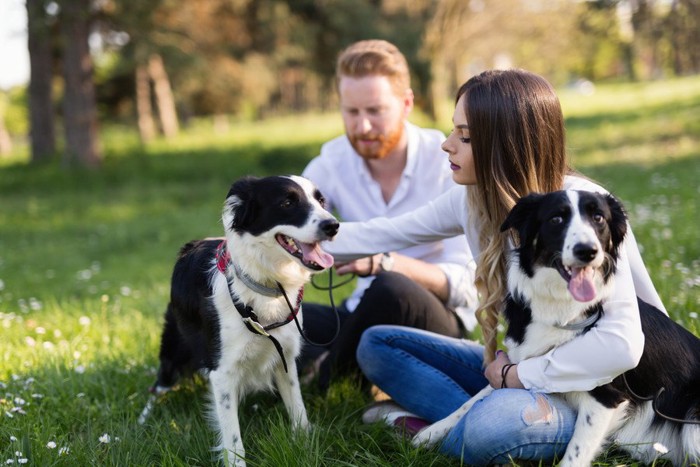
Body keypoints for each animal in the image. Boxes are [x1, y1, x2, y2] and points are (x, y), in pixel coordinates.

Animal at [143, 176, 340, 467]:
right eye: (287, 203)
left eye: (321, 201)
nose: (333, 225)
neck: (265, 285)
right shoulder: (222, 371)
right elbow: (233, 439)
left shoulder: (285, 357)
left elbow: (298, 410)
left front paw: (307, 447)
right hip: (174, 350)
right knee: (158, 386)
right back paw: (141, 423)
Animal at [412, 190, 700, 467]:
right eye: (556, 219)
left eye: (598, 218)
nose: (587, 251)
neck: (563, 307)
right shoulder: (516, 363)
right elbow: (473, 400)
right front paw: (431, 432)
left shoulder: (604, 399)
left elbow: (575, 454)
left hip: (692, 422)